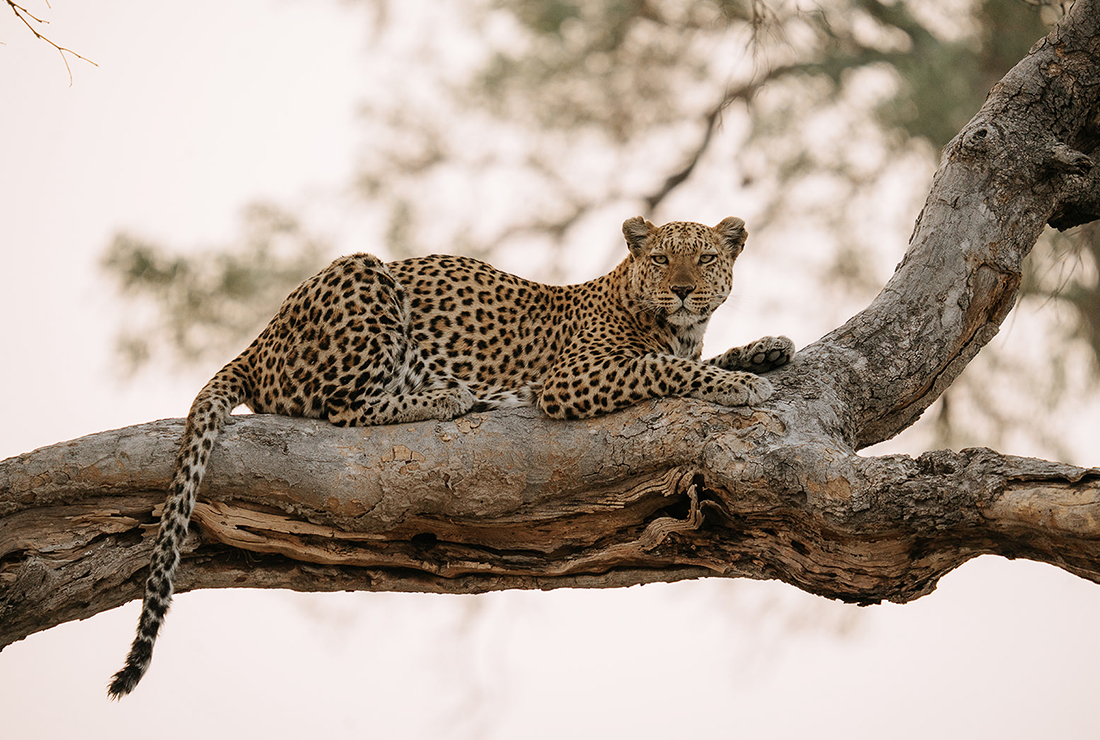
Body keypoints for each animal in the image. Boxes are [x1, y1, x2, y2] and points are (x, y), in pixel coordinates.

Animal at [108, 215, 794, 698]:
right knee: (343, 407)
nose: (680, 290)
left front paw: (765, 349)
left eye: (706, 259)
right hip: (364, 279)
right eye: (660, 259)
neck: (675, 325)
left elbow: (698, 358)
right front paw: (740, 385)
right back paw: (449, 396)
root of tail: (259, 338)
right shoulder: (573, 378)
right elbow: (668, 369)